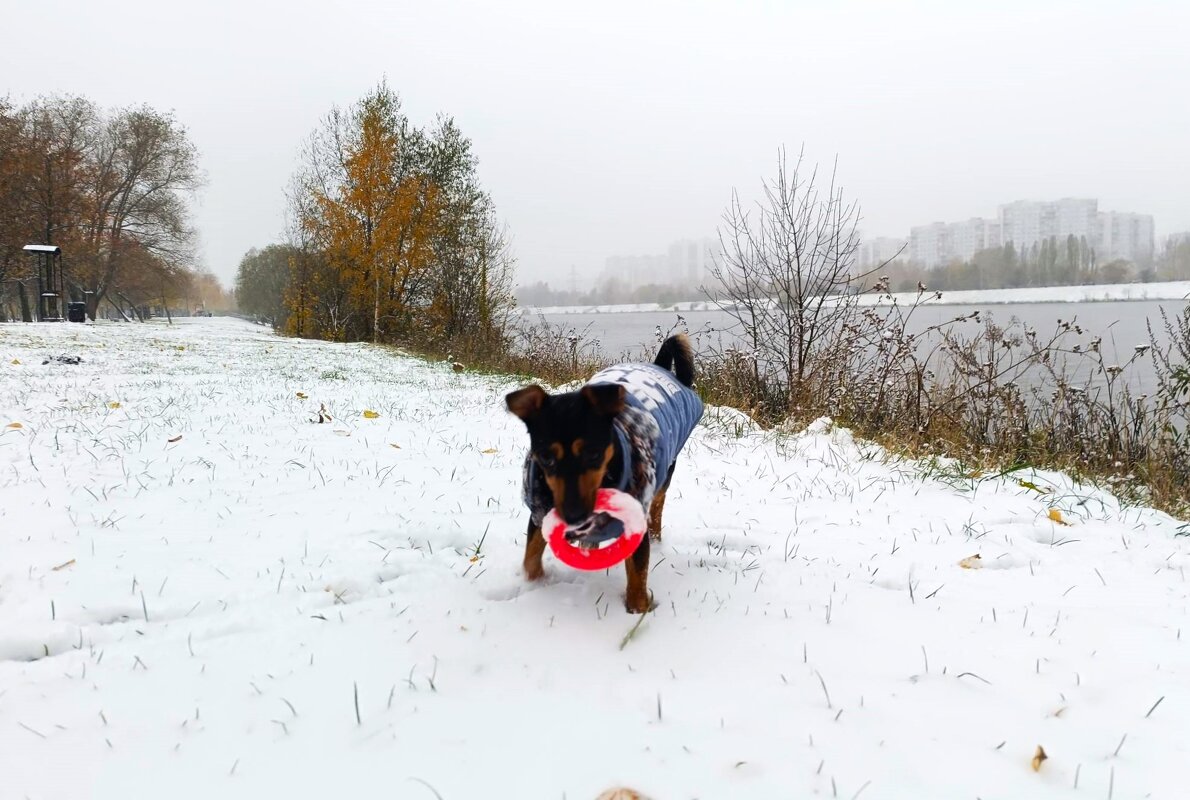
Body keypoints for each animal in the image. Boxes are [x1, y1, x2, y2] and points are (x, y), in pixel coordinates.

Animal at [504, 333, 704, 614]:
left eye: (594, 454)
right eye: (545, 457)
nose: (574, 516)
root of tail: (660, 366)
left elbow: (638, 578)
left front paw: (639, 611)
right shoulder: (539, 514)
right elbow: (530, 560)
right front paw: (535, 584)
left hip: (666, 473)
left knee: (657, 507)